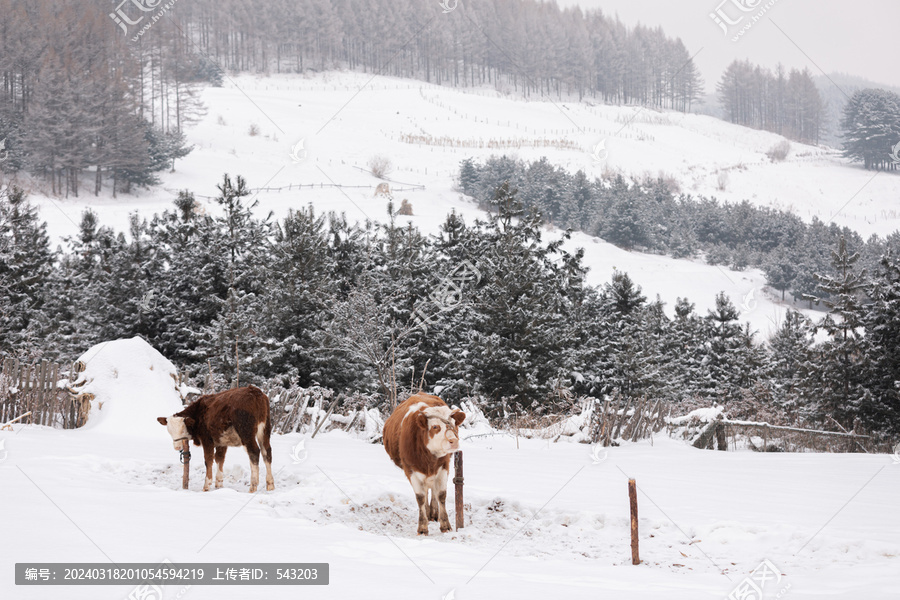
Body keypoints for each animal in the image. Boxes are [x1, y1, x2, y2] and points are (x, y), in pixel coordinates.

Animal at [382, 394, 464, 536]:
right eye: (435, 427)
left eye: (454, 424)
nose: (453, 441)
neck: (428, 457)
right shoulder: (411, 470)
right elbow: (420, 497)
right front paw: (422, 527)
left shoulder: (443, 466)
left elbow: (441, 494)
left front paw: (445, 525)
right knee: (425, 492)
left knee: (433, 491)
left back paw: (433, 513)